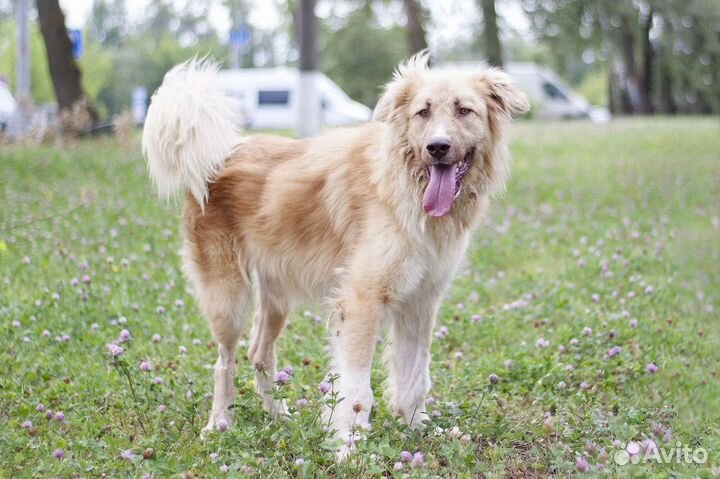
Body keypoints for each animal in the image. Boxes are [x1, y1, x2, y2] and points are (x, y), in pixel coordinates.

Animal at [141, 53, 528, 458]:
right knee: (224, 362)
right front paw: (348, 445)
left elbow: (414, 375)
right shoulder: (361, 301)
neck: (404, 185)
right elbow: (357, 389)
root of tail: (223, 152)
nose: (437, 147)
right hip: (228, 299)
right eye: (423, 112)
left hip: (276, 299)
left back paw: (279, 415)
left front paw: (417, 428)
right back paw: (219, 423)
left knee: (259, 354)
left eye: (464, 110)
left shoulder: (420, 303)